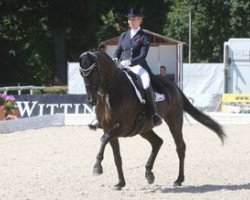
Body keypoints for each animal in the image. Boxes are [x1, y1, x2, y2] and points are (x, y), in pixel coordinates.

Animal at [79, 50, 226, 191]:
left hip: (174, 120)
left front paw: (97, 168)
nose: (90, 100)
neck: (111, 92)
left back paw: (178, 179)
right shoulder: (108, 128)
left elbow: (104, 139)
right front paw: (120, 183)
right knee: (157, 142)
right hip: (144, 128)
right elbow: (117, 157)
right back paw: (149, 174)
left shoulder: (123, 127)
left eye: (94, 71)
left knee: (180, 147)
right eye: (82, 74)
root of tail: (174, 86)